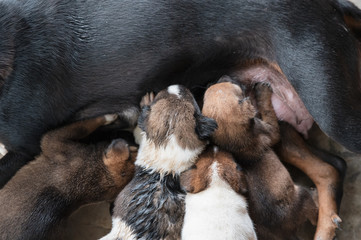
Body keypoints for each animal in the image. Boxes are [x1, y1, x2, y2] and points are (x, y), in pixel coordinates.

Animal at [202, 81, 318, 240]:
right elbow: (268, 111)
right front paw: (262, 91)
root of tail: (285, 234)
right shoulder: (271, 131)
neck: (235, 144)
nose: (214, 80)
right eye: (237, 90)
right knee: (314, 214)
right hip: (302, 194)